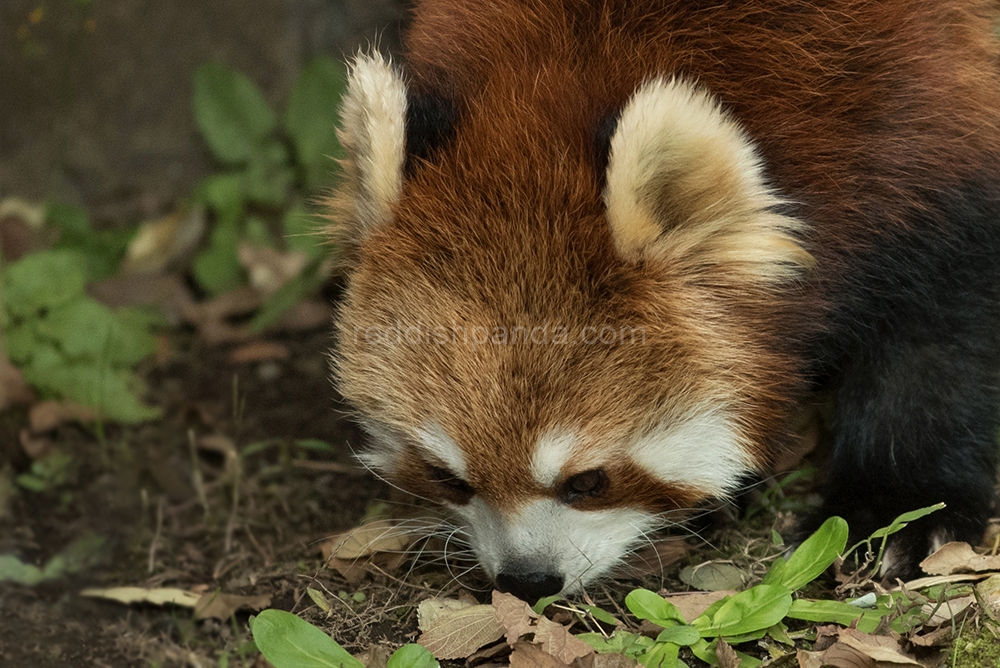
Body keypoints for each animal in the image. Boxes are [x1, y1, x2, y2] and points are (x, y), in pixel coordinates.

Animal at [326, 0, 1000, 604]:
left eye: (588, 481)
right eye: (447, 476)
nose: (526, 581)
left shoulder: (928, 113)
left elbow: (938, 338)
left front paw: (896, 511)